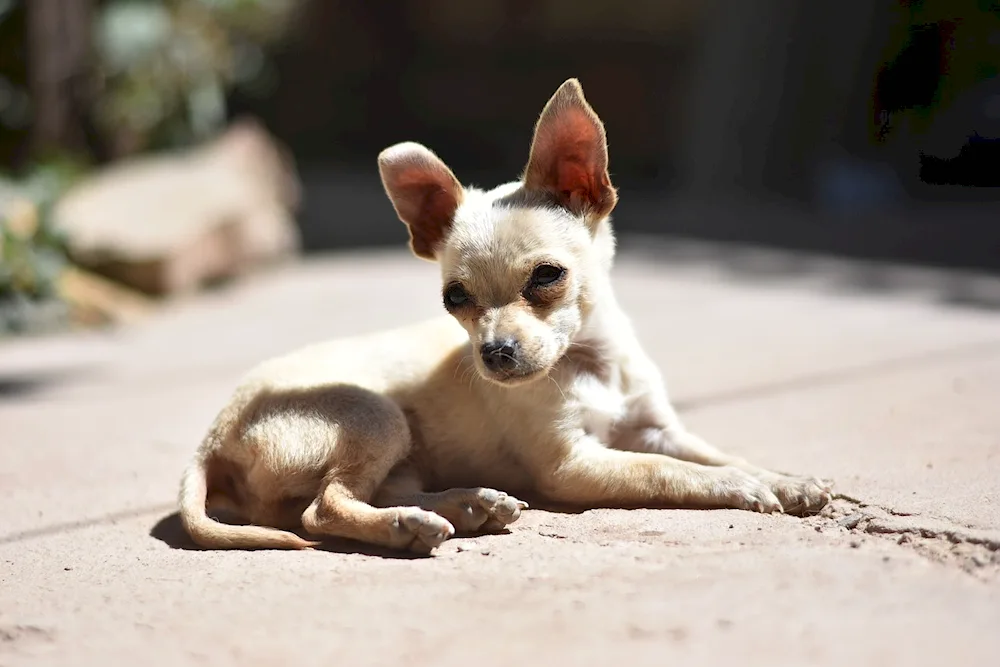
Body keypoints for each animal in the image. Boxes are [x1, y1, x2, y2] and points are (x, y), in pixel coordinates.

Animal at [178, 81, 828, 556]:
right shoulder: (575, 465)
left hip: (400, 453)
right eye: (453, 299)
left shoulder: (657, 427)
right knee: (322, 509)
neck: (591, 367)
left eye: (547, 276)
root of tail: (212, 439)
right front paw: (745, 487)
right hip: (377, 416)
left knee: (345, 499)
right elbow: (667, 471)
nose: (494, 354)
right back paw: (409, 528)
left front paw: (782, 479)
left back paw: (467, 506)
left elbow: (713, 453)